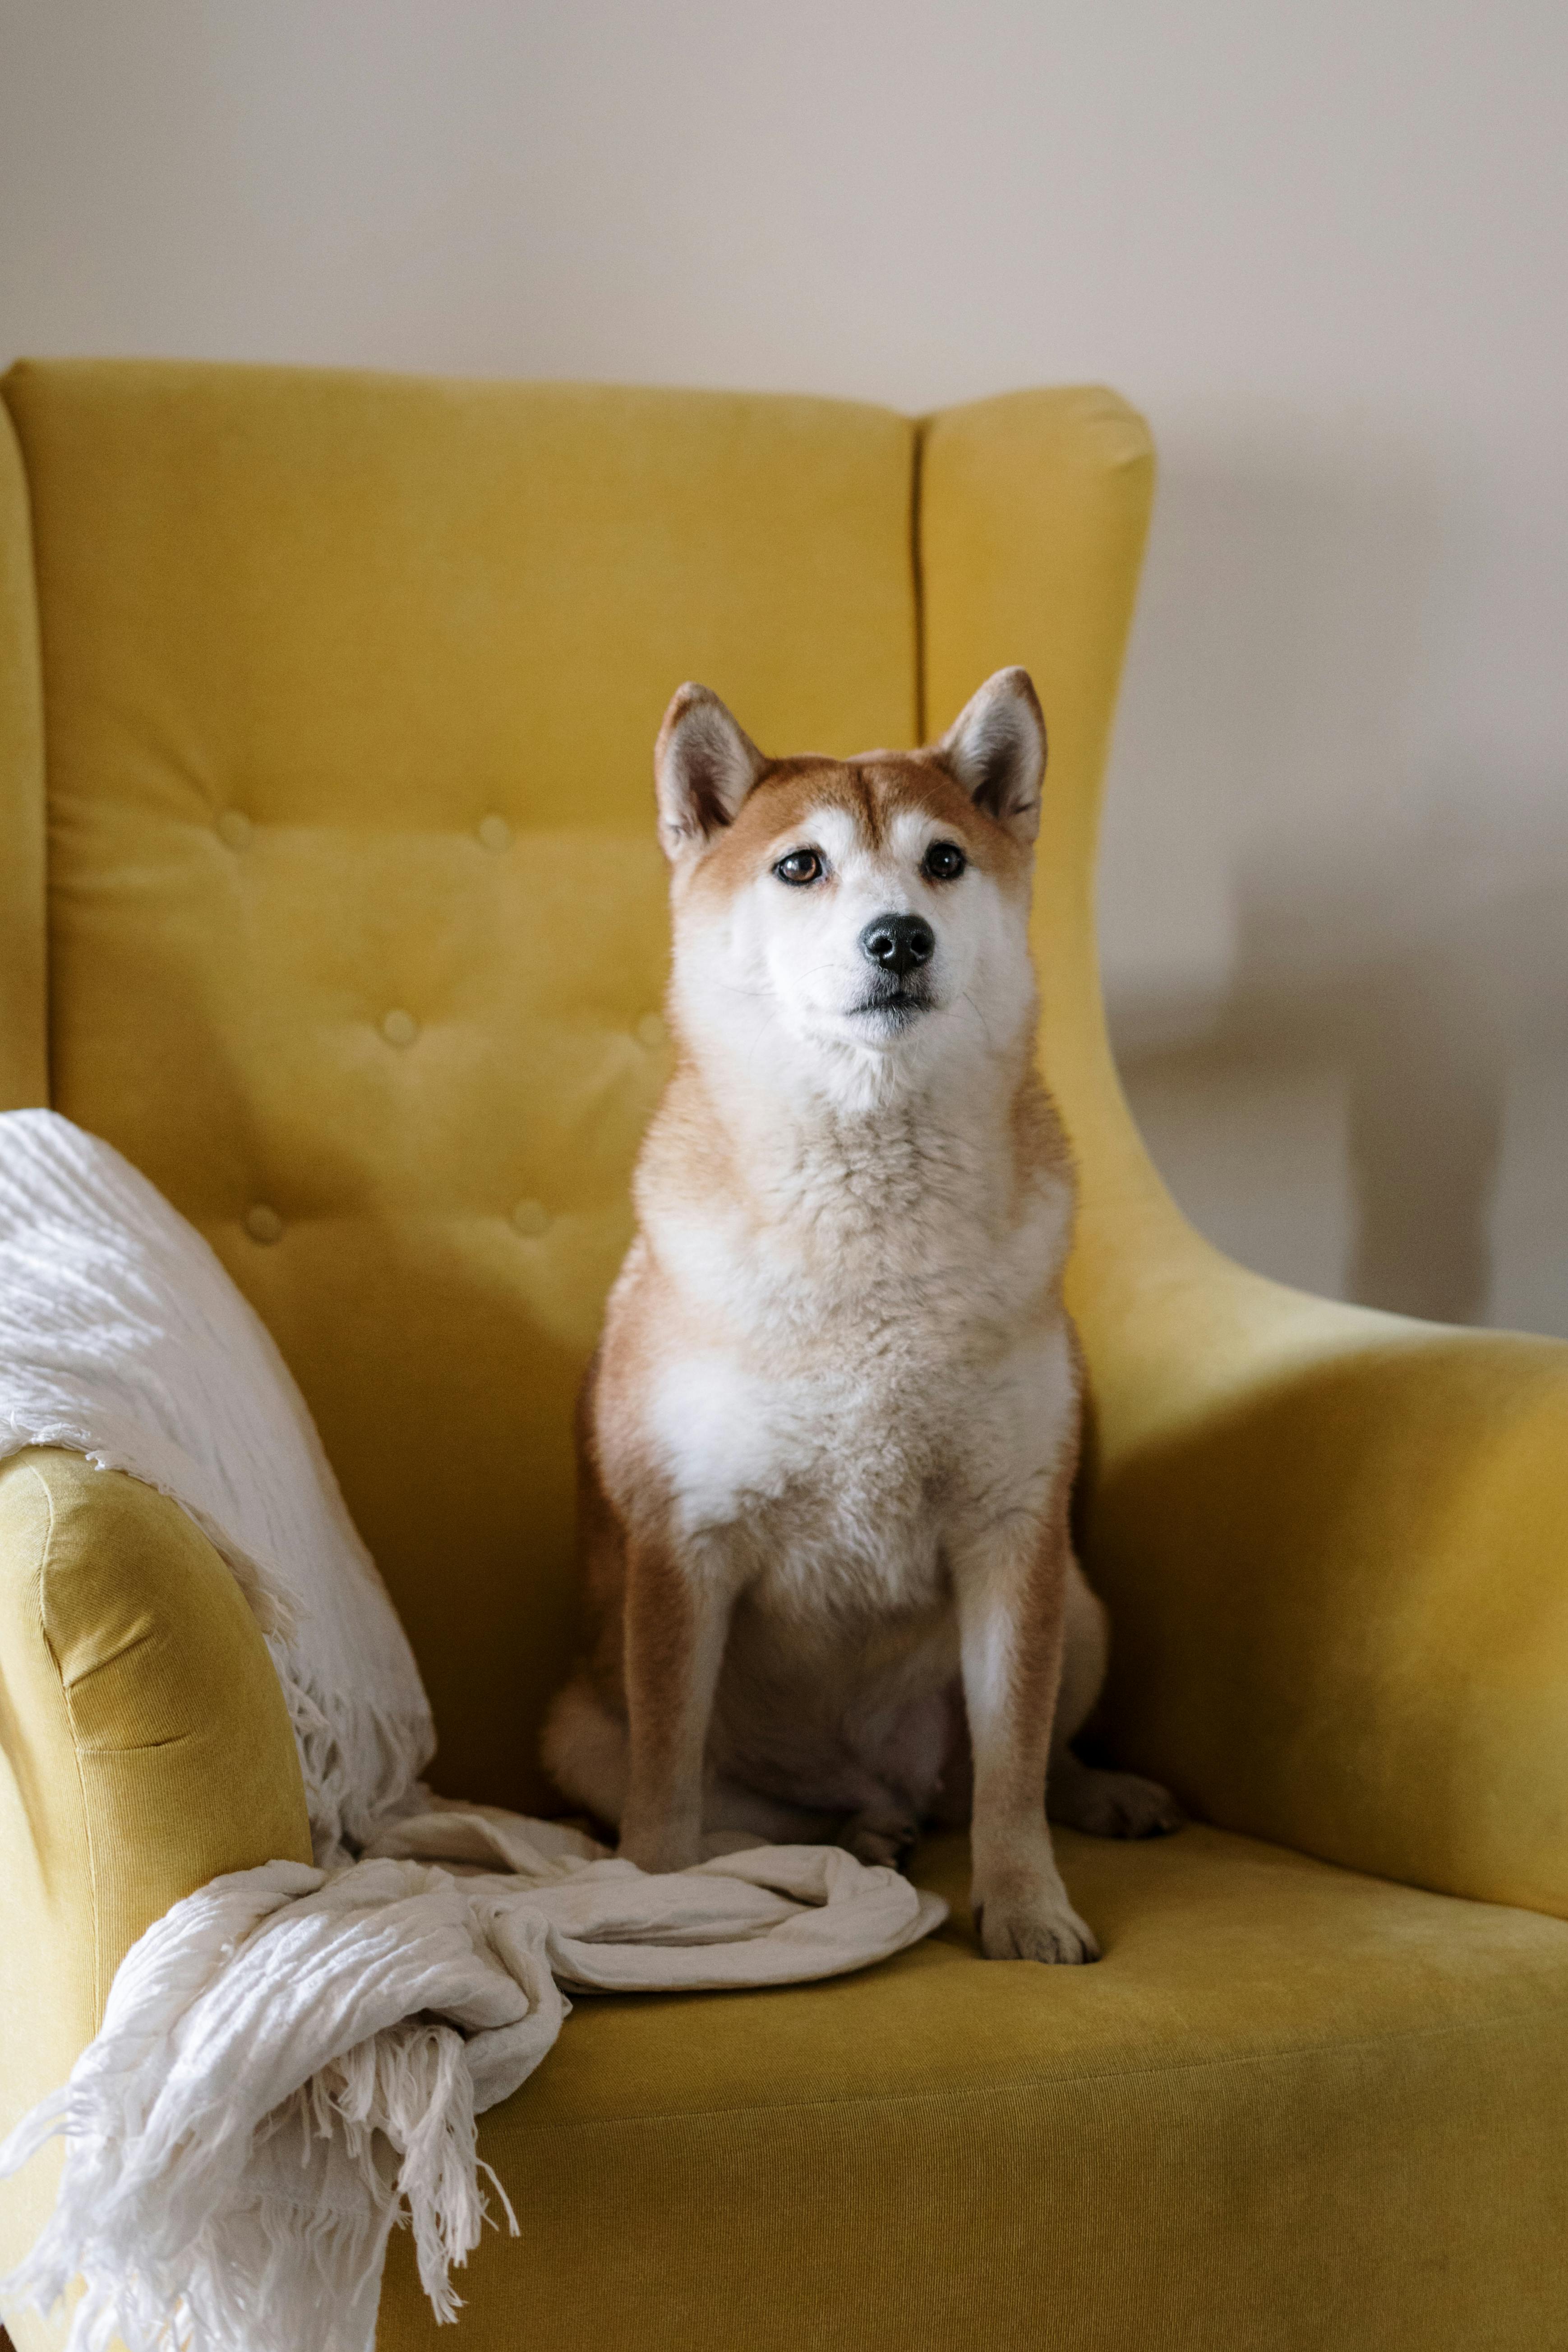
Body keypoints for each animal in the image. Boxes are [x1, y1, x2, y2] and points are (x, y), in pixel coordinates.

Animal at [545, 668, 1171, 1966]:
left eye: (943, 861)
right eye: (800, 866)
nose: (898, 938)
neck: (871, 1240)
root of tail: (878, 1784)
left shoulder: (1012, 1536)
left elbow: (1010, 1767)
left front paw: (1025, 1905)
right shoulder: (682, 1549)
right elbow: (667, 1786)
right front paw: (655, 1900)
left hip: (1081, 1607)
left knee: (1011, 1768)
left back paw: (1091, 1794)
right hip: (576, 1729)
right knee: (734, 1811)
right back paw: (833, 1843)